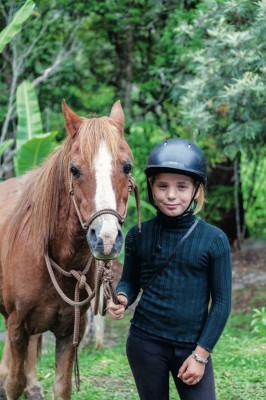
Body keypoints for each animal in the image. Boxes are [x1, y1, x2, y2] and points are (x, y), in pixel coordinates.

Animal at [0, 97, 138, 400]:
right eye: (74, 169)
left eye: (127, 167)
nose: (106, 238)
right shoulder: (16, 327)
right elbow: (14, 384)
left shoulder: (69, 330)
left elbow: (61, 387)